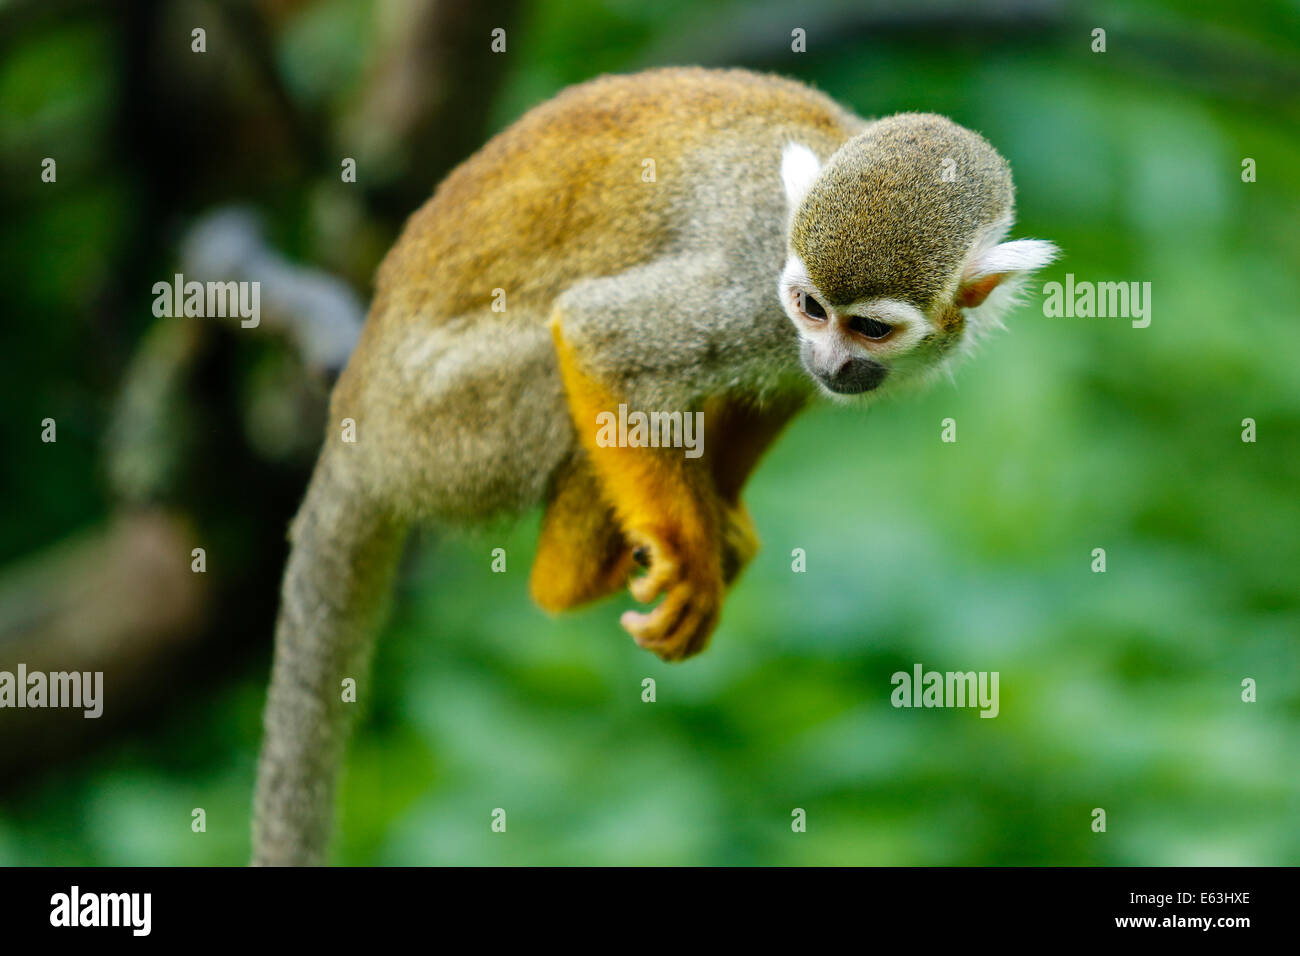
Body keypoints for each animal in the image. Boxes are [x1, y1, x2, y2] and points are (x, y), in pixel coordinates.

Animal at [250, 65, 1055, 858]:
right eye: (812, 307)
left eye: (871, 328)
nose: (830, 360)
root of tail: (355, 420)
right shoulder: (754, 289)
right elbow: (601, 337)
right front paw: (693, 556)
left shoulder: (786, 337)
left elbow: (778, 384)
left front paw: (722, 516)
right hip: (445, 429)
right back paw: (570, 575)